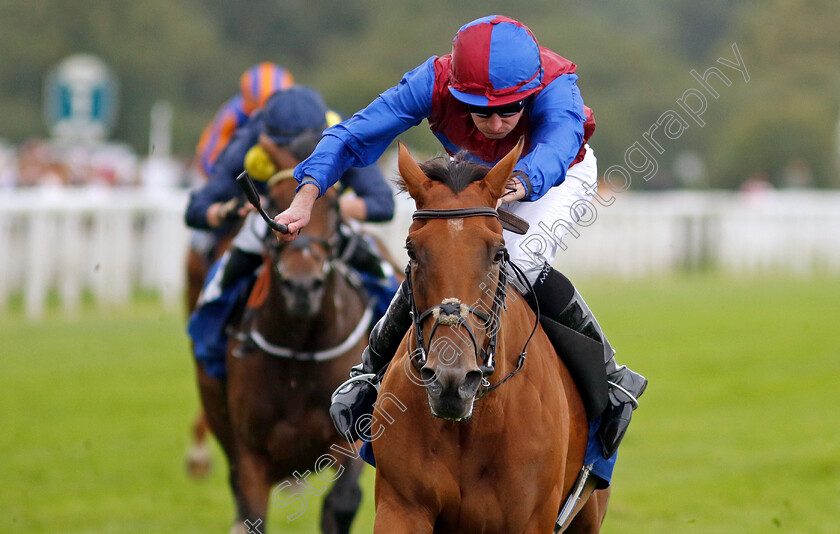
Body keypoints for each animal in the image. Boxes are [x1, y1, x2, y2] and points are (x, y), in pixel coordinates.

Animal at [221, 175, 370, 532]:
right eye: (273, 202)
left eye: (334, 206)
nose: (302, 287)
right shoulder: (250, 454)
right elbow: (252, 515)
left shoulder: (353, 430)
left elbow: (342, 501)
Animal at [370, 143, 612, 534]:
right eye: (411, 250)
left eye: (498, 253)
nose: (451, 381)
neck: (474, 423)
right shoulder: (401, 506)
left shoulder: (532, 518)